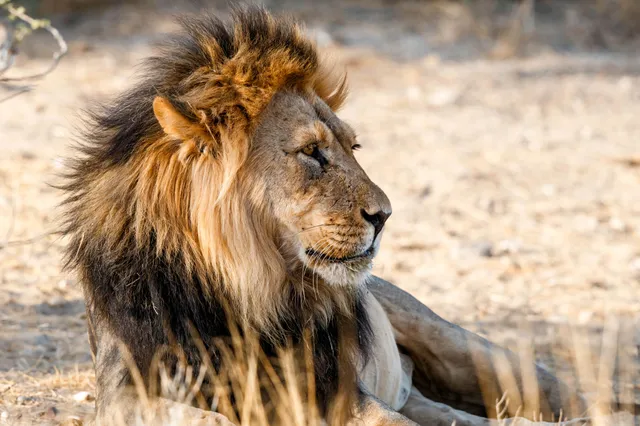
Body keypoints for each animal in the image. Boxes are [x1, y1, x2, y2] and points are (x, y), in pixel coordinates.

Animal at [61, 6, 587, 426]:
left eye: (353, 147)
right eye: (313, 152)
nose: (385, 216)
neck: (245, 289)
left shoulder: (335, 391)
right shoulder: (125, 390)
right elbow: (199, 415)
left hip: (455, 344)